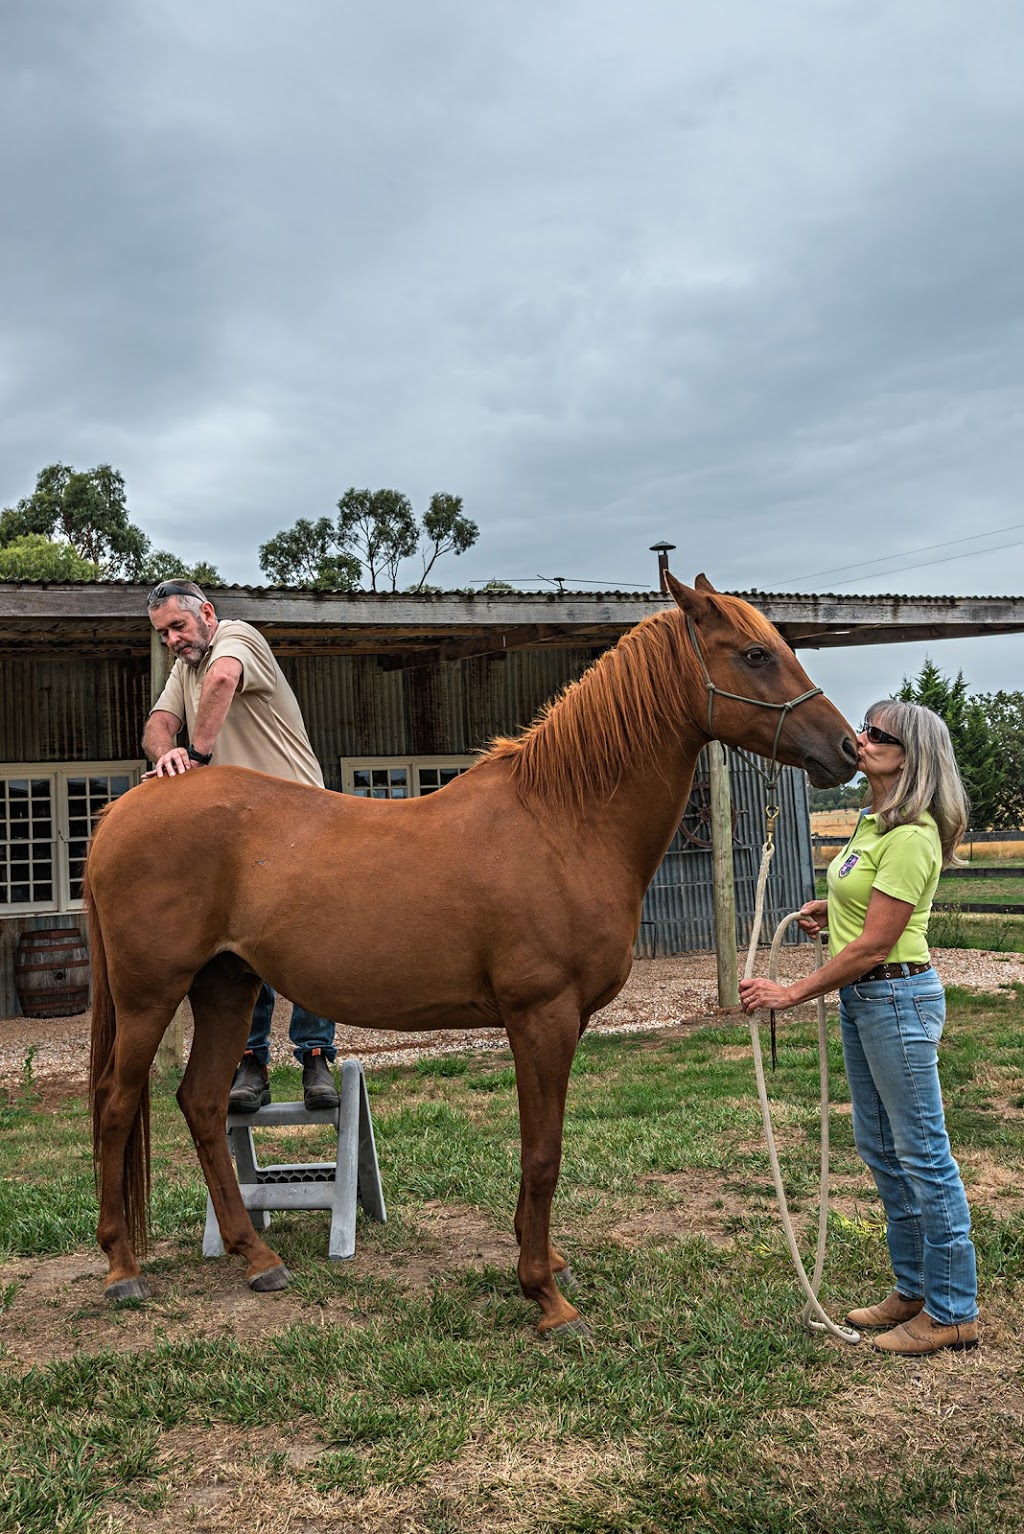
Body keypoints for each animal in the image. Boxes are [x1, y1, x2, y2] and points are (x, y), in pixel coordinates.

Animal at [88, 573, 858, 1331]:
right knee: (117, 1104)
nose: (847, 749)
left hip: (225, 984)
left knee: (201, 1104)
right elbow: (543, 1153)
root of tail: (122, 811)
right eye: (755, 654)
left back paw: (255, 1256)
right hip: (150, 994)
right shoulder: (542, 1016)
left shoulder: (558, 1021)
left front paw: (543, 1261)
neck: (562, 822)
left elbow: (540, 1147)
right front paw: (546, 1296)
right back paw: (122, 1269)